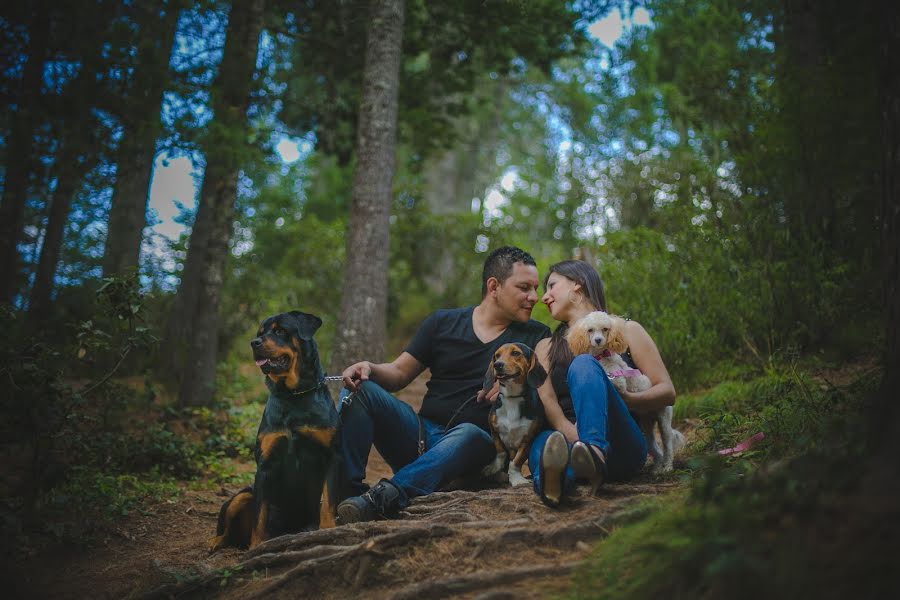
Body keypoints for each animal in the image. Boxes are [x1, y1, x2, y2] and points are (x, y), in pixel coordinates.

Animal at [209, 312, 340, 552]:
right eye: (260, 333)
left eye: (280, 331)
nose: (254, 342)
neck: (294, 395)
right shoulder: (265, 464)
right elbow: (260, 514)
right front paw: (256, 546)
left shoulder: (331, 456)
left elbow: (328, 501)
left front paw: (328, 530)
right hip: (241, 496)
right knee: (227, 527)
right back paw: (217, 541)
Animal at [482, 342, 544, 488]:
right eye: (497, 355)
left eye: (515, 353)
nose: (497, 364)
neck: (512, 397)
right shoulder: (494, 429)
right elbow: (500, 451)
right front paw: (493, 468)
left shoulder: (528, 439)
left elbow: (516, 461)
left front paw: (517, 479)